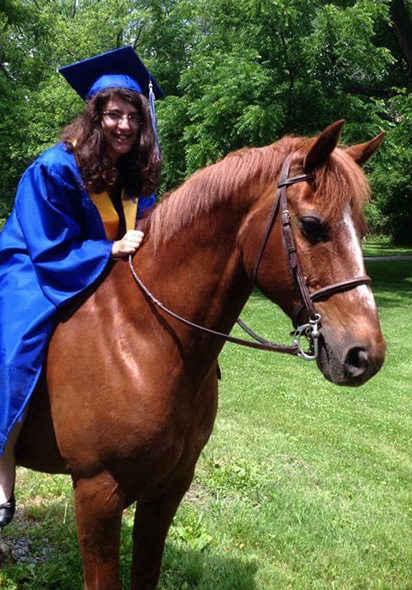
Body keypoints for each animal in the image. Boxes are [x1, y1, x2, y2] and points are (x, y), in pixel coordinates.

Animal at [13, 118, 386, 588]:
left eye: (363, 230)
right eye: (312, 225)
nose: (365, 355)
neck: (142, 338)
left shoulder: (168, 487)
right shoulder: (97, 493)